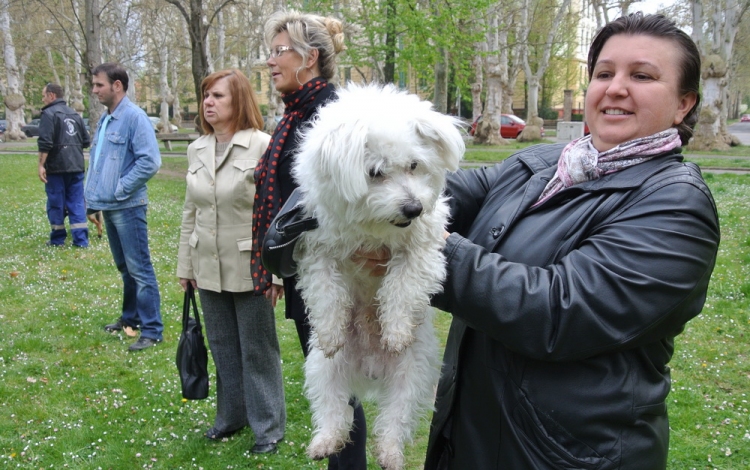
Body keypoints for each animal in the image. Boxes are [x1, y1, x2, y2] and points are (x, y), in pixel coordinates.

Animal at [292, 84, 464, 470]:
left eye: (414, 165)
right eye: (375, 172)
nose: (413, 208)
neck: (373, 228)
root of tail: (369, 370)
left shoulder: (422, 247)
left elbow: (402, 286)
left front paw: (396, 329)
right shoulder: (317, 247)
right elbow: (326, 291)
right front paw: (329, 330)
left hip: (411, 374)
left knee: (395, 418)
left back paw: (389, 453)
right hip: (325, 370)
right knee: (333, 410)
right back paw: (326, 441)